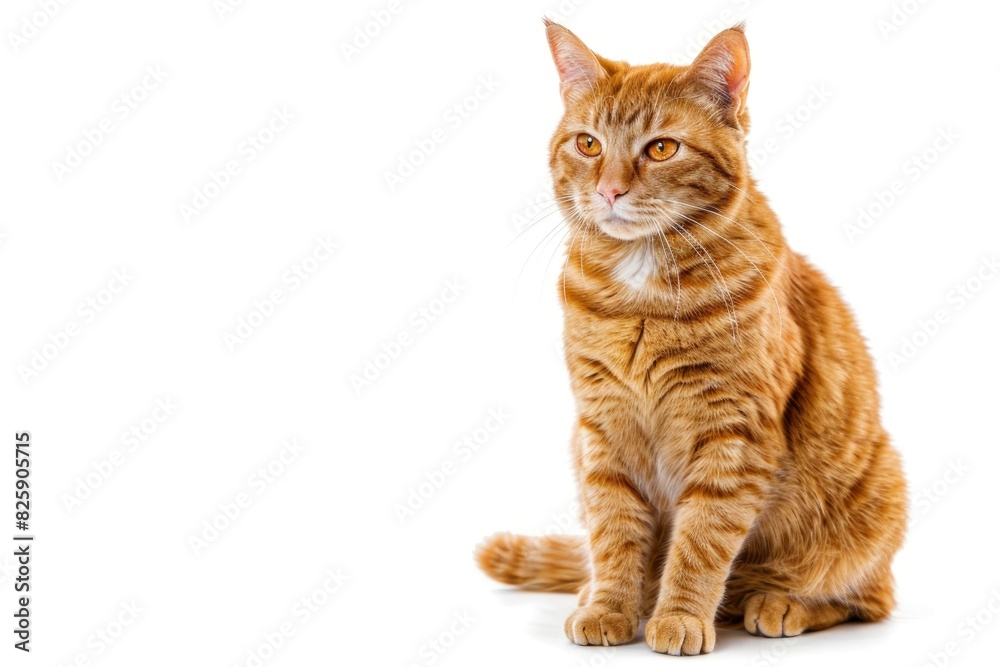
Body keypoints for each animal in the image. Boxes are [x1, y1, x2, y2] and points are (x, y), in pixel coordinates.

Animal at [476, 20, 908, 656]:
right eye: (588, 145)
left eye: (661, 148)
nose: (609, 191)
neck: (641, 290)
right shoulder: (603, 428)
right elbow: (614, 529)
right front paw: (610, 606)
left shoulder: (733, 432)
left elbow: (701, 540)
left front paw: (678, 615)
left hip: (874, 496)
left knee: (864, 597)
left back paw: (778, 602)